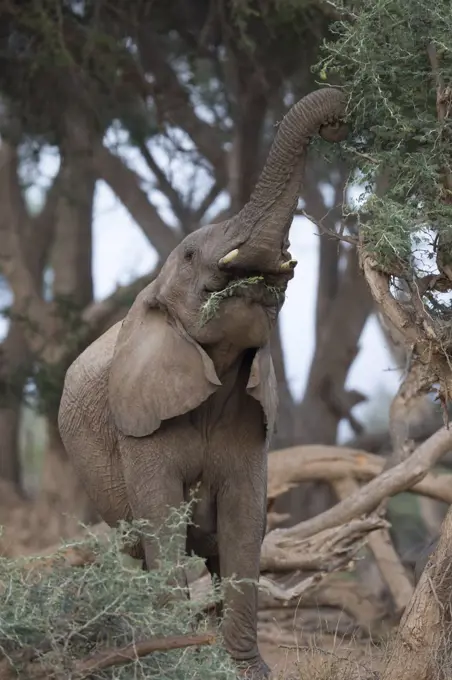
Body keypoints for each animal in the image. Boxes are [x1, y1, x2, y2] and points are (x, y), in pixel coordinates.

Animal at [57, 85, 346, 676]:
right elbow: (162, 516)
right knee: (139, 546)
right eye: (190, 254)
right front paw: (175, 660)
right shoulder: (138, 424)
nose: (340, 121)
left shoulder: (252, 415)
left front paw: (241, 669)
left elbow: (244, 520)